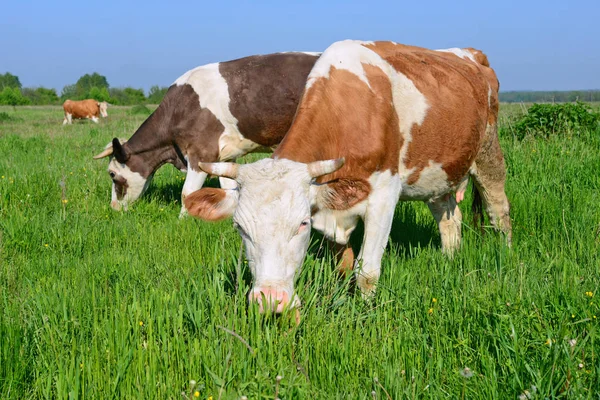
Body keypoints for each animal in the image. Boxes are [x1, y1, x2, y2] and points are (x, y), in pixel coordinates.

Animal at [92, 53, 318, 217]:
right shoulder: (225, 156)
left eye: (112, 174)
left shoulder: (201, 152)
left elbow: (188, 193)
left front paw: (183, 223)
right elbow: (228, 191)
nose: (113, 208)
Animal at [185, 41, 512, 316]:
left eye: (302, 224)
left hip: (488, 151)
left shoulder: (383, 196)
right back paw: (449, 259)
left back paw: (504, 253)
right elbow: (343, 268)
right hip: (439, 172)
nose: (270, 300)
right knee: (449, 218)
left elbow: (367, 272)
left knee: (499, 209)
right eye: (240, 227)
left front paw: (365, 313)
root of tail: (471, 54)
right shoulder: (330, 209)